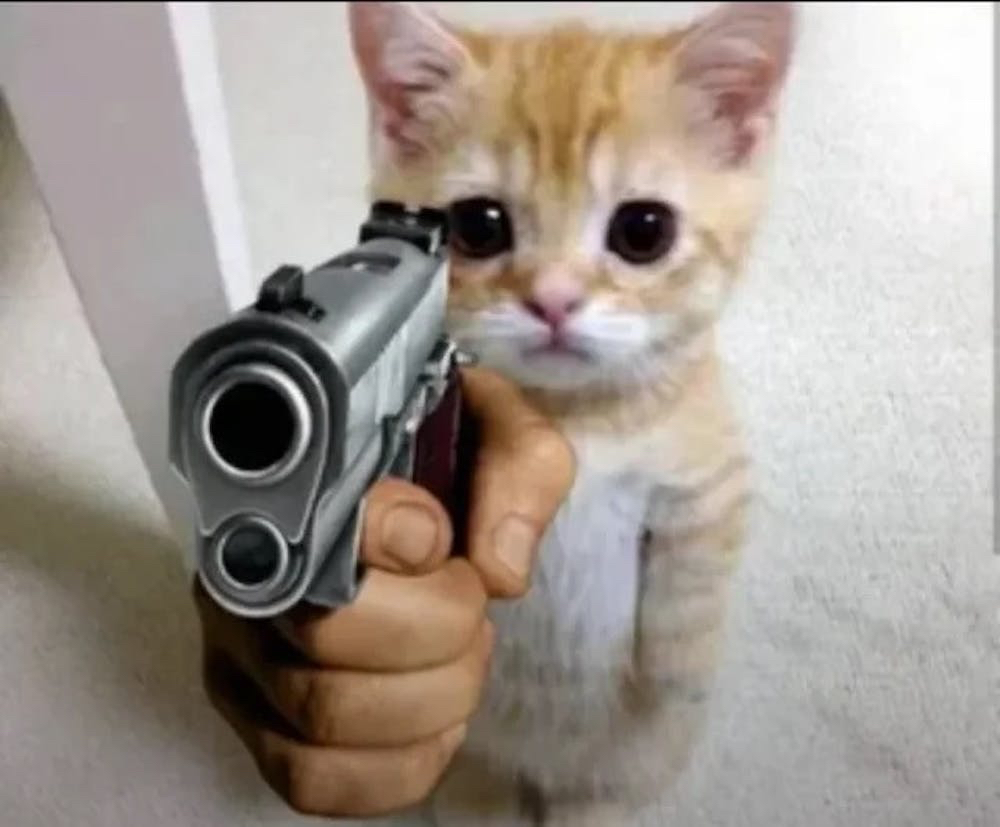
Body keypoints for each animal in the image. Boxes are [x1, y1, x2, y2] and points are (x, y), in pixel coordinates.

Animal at [347, 2, 797, 825]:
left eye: (643, 229)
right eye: (479, 225)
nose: (553, 300)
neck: (576, 420)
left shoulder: (709, 475)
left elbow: (693, 579)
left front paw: (680, 674)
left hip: (609, 786)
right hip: (475, 768)